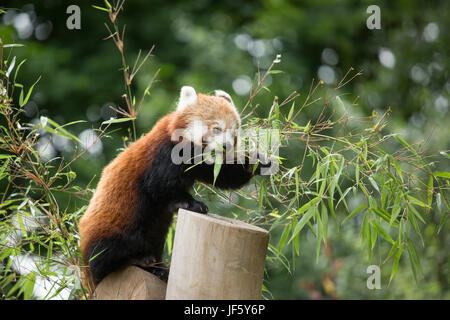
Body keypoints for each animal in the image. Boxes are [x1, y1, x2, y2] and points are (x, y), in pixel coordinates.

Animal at [78, 85, 270, 290]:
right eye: (216, 129)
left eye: (234, 132)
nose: (226, 146)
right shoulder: (163, 154)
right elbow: (160, 186)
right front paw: (192, 204)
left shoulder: (202, 163)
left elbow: (221, 175)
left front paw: (257, 162)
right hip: (112, 227)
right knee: (106, 253)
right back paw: (136, 260)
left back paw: (158, 269)